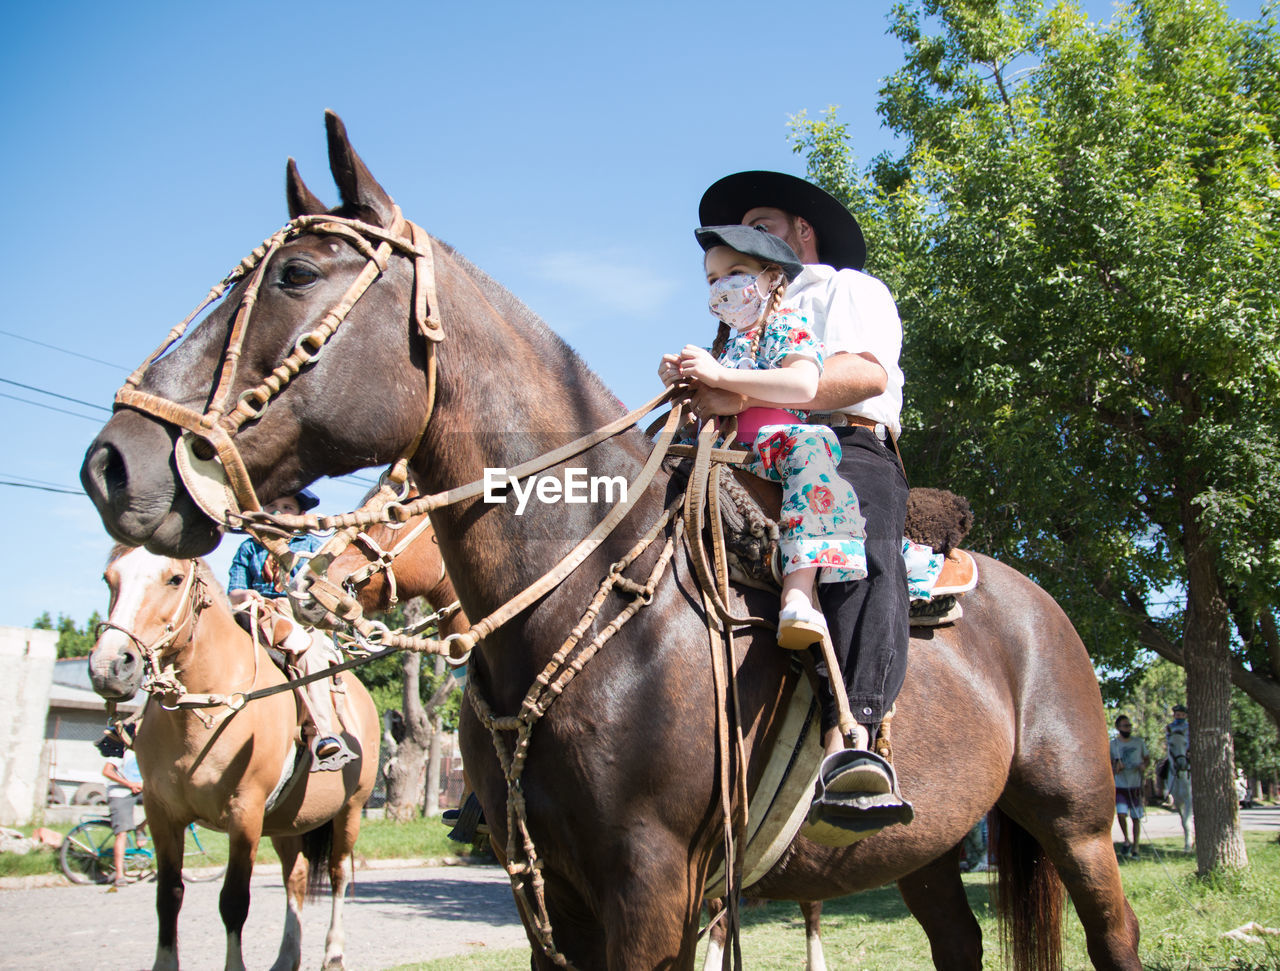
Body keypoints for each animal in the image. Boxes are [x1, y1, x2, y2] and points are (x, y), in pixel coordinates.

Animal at [88, 547, 378, 971]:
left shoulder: (245, 813)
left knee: (338, 874)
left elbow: (234, 901)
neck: (206, 707)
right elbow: (168, 896)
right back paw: (286, 957)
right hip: (286, 823)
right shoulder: (162, 814)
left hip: (349, 811)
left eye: (175, 579)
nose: (108, 667)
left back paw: (334, 954)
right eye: (109, 578)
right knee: (297, 877)